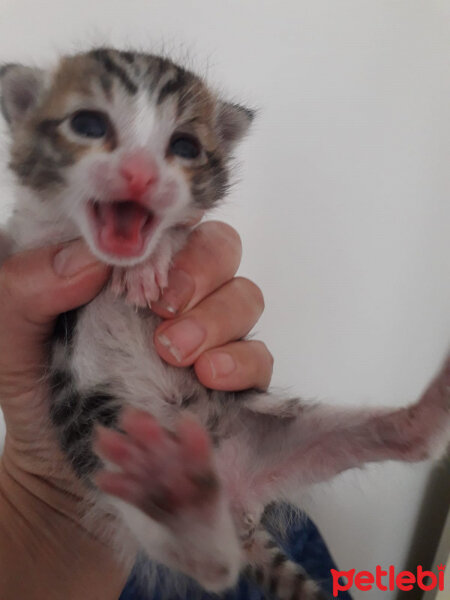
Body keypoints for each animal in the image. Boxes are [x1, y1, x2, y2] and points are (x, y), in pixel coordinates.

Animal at [0, 48, 448, 600]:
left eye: (184, 146)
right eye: (87, 124)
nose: (139, 174)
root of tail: (232, 505)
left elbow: (175, 236)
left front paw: (150, 264)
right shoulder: (30, 244)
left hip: (269, 434)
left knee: (404, 440)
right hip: (105, 458)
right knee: (213, 565)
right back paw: (180, 498)